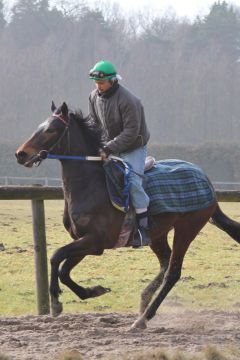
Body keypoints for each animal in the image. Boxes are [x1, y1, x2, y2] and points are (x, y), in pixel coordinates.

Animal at [15, 101, 240, 330]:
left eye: (51, 129)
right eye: (39, 126)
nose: (20, 154)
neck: (91, 187)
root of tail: (207, 181)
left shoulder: (96, 240)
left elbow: (55, 256)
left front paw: (55, 300)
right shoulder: (86, 242)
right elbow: (64, 270)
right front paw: (93, 291)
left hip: (187, 228)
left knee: (173, 272)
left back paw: (143, 318)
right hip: (157, 234)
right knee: (165, 262)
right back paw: (144, 300)